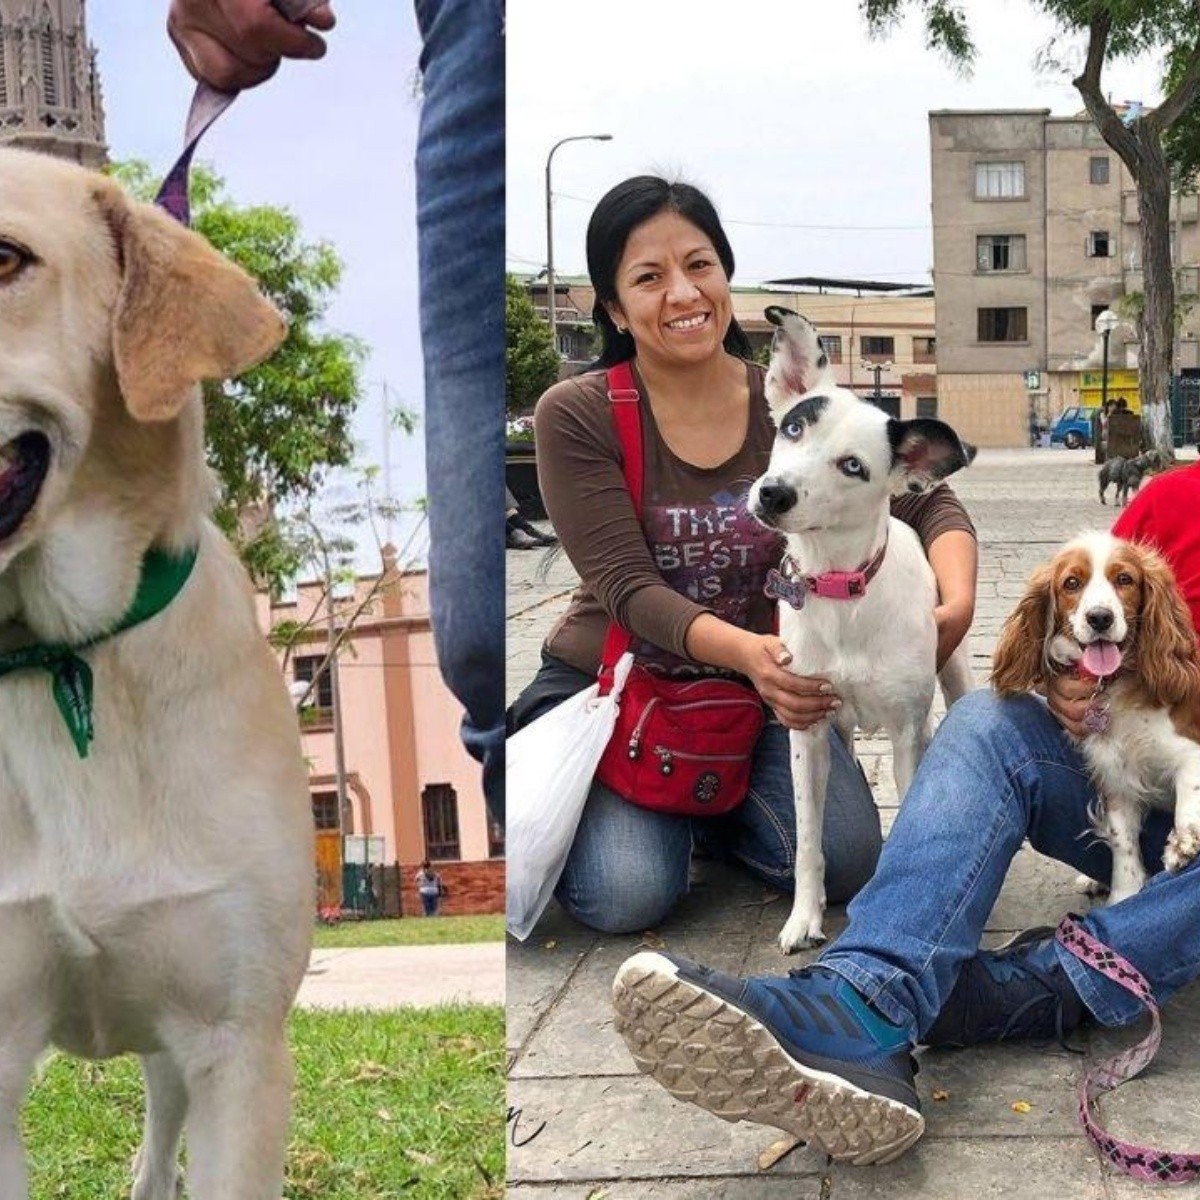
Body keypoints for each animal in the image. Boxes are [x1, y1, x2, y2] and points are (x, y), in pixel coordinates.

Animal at [748, 309, 974, 955]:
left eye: (853, 467)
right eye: (794, 427)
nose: (773, 493)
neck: (839, 587)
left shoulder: (904, 733)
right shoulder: (806, 728)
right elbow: (808, 839)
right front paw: (804, 916)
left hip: (953, 675)